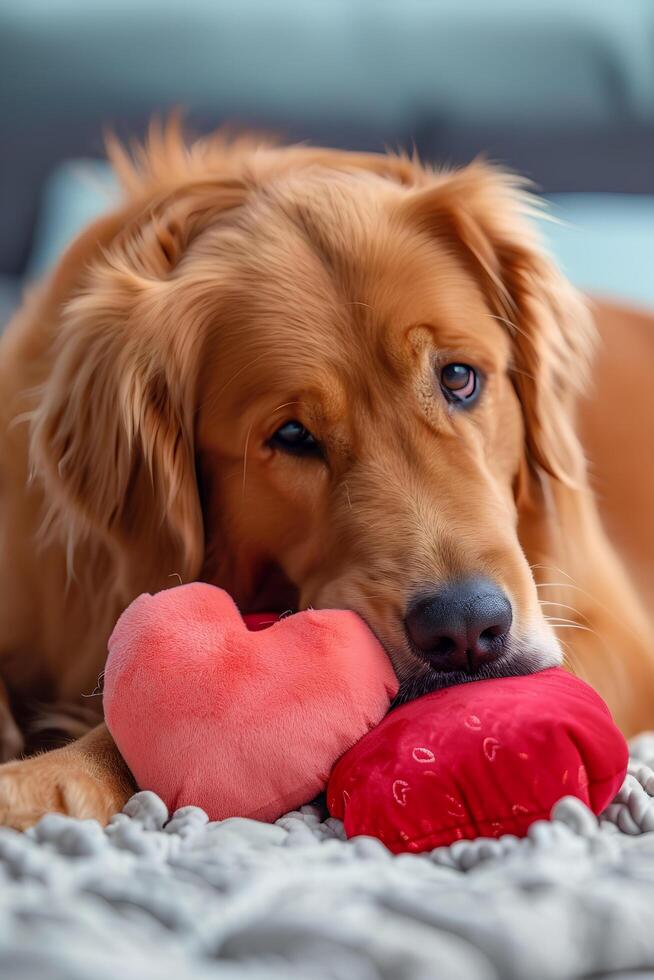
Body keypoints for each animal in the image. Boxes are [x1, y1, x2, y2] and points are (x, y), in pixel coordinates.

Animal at [1, 122, 654, 828]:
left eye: (459, 377)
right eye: (292, 436)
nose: (465, 630)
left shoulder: (611, 631)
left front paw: (55, 770)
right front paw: (50, 769)